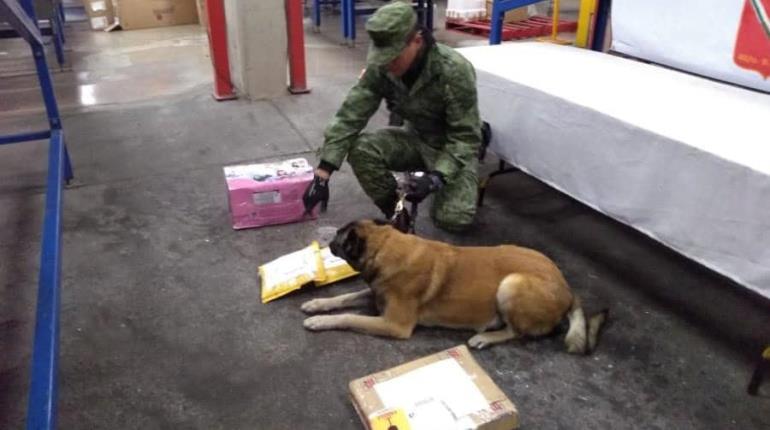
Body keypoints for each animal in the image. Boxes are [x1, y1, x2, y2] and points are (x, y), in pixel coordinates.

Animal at [300, 220, 608, 354]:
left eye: (339, 239)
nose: (330, 242)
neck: (385, 247)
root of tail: (568, 290)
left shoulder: (394, 324)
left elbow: (348, 317)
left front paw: (319, 321)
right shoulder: (375, 295)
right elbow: (345, 298)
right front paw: (317, 304)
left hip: (511, 284)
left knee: (518, 333)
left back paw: (486, 337)